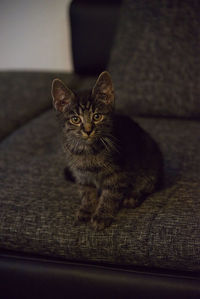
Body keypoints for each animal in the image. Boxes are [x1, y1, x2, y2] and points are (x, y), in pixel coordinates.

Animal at [51, 71, 162, 231]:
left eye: (97, 116)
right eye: (75, 119)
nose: (88, 130)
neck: (87, 151)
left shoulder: (117, 174)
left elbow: (110, 195)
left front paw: (102, 216)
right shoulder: (81, 174)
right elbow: (87, 191)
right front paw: (87, 208)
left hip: (150, 163)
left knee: (147, 186)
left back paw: (132, 197)